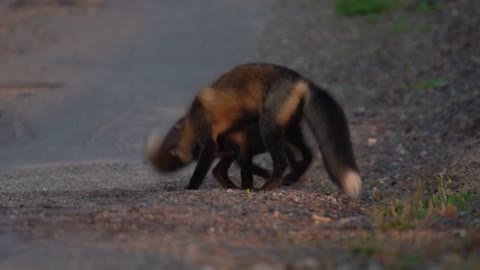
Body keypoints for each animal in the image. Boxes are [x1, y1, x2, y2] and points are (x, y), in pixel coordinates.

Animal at [144, 63, 362, 198]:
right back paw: (291, 178)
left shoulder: (209, 142)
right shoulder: (232, 147)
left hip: (269, 129)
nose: (165, 169)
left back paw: (268, 187)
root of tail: (300, 79)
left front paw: (190, 188)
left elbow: (201, 172)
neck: (191, 118)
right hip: (289, 130)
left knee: (282, 161)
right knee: (308, 154)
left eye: (173, 162)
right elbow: (243, 168)